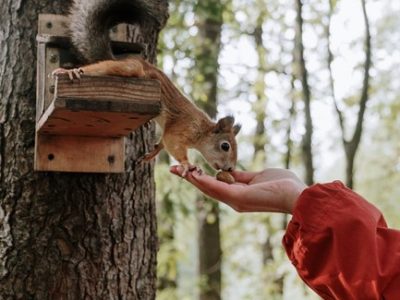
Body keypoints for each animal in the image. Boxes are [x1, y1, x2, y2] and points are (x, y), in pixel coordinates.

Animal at [51, 0, 239, 176]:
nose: (230, 169)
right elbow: (172, 142)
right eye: (225, 146)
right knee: (103, 67)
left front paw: (152, 153)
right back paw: (72, 71)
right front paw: (187, 164)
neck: (202, 130)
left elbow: (163, 141)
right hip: (131, 68)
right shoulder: (183, 127)